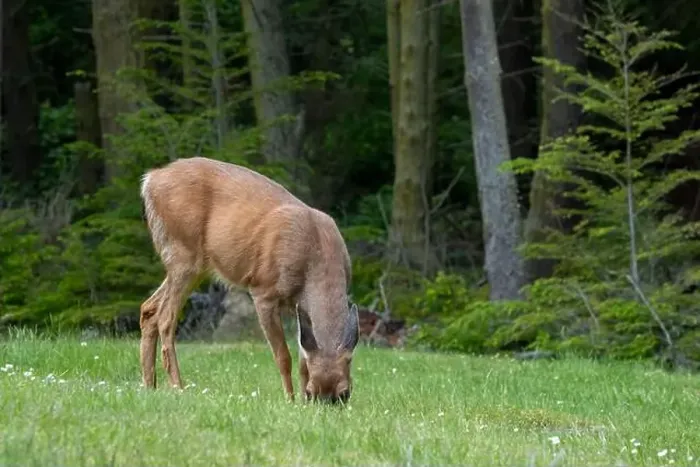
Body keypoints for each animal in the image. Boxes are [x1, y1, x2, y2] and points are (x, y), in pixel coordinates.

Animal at [139, 156, 360, 404]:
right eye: (313, 392)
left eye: (345, 393)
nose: (317, 402)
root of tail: (150, 179)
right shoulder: (263, 290)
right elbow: (283, 356)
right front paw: (290, 400)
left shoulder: (299, 306)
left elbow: (304, 358)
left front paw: (301, 402)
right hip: (183, 252)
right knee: (165, 317)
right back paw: (178, 386)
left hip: (192, 263)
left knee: (148, 308)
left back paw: (149, 385)